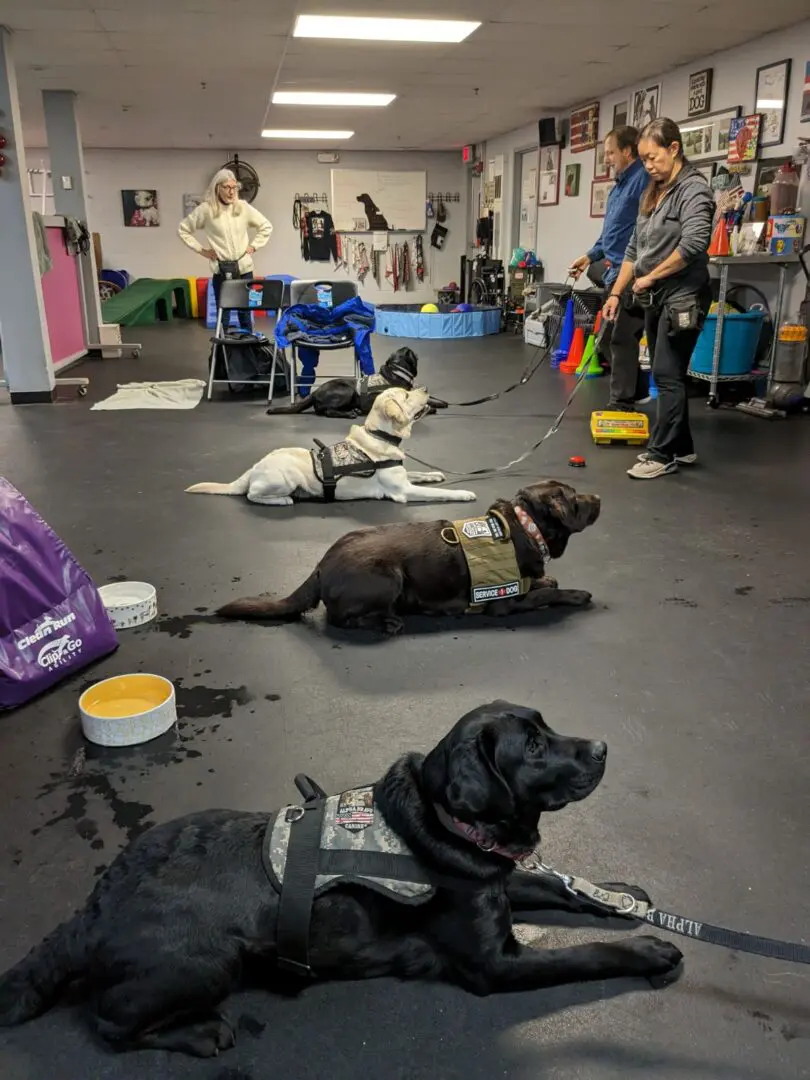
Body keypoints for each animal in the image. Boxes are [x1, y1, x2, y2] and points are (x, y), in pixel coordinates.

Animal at [0, 699, 686, 1054]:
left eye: (548, 728)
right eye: (535, 748)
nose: (602, 748)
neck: (442, 820)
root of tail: (88, 912)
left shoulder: (489, 877)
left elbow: (555, 883)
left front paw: (621, 896)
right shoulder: (494, 963)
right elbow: (587, 954)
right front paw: (648, 949)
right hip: (208, 962)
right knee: (111, 1026)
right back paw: (199, 1034)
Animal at [220, 479, 604, 630]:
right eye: (575, 498)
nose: (599, 497)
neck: (524, 526)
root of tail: (320, 565)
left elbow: (543, 582)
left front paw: (546, 578)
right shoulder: (504, 603)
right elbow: (546, 595)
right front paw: (575, 593)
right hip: (388, 577)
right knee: (339, 618)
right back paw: (386, 622)